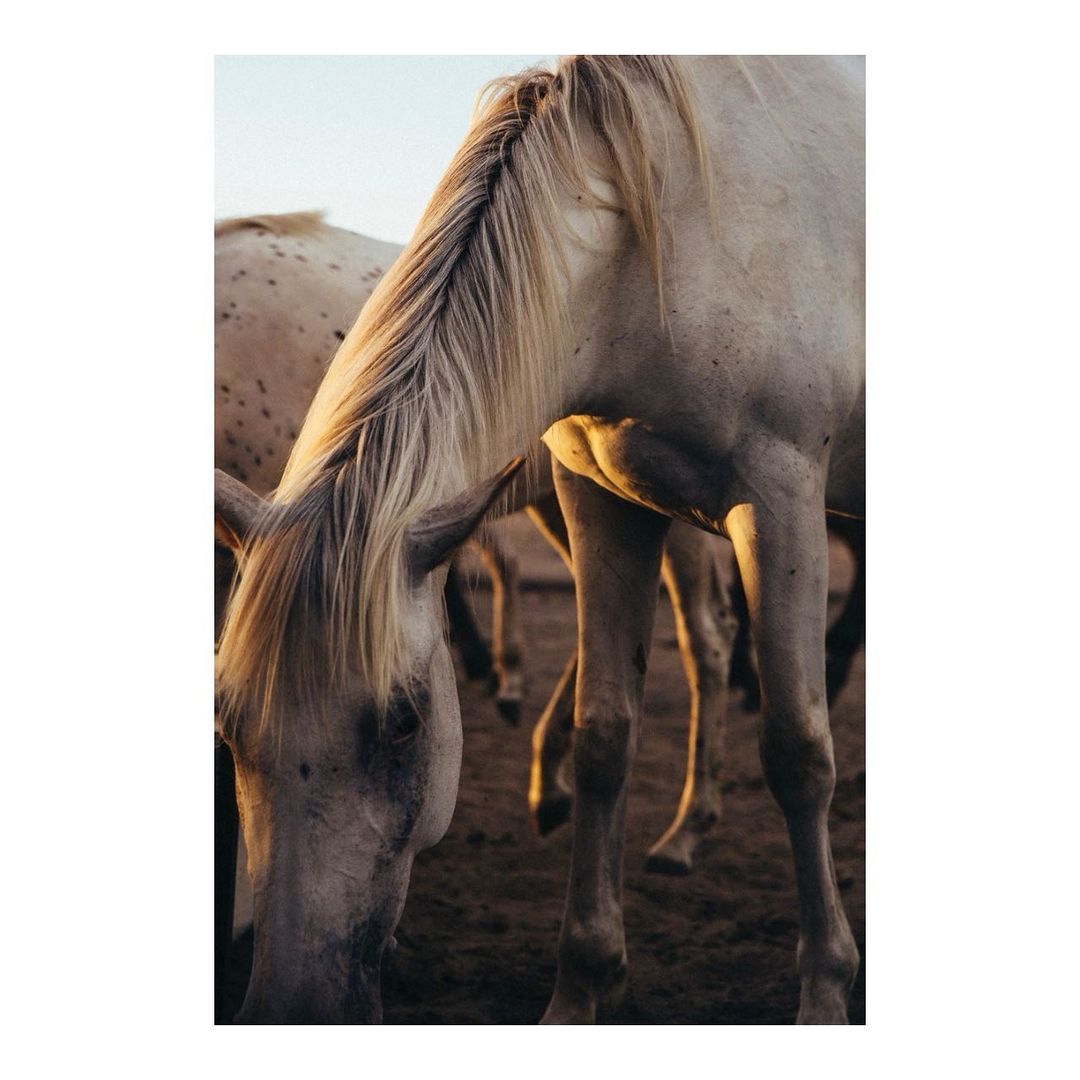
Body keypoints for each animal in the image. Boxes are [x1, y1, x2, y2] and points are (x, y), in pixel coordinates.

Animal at [215, 55, 864, 1024]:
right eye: (226, 721)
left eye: (405, 723)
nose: (293, 1005)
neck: (660, 232)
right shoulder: (600, 499)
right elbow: (606, 738)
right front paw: (582, 988)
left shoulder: (779, 498)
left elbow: (797, 751)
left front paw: (824, 991)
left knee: (721, 652)